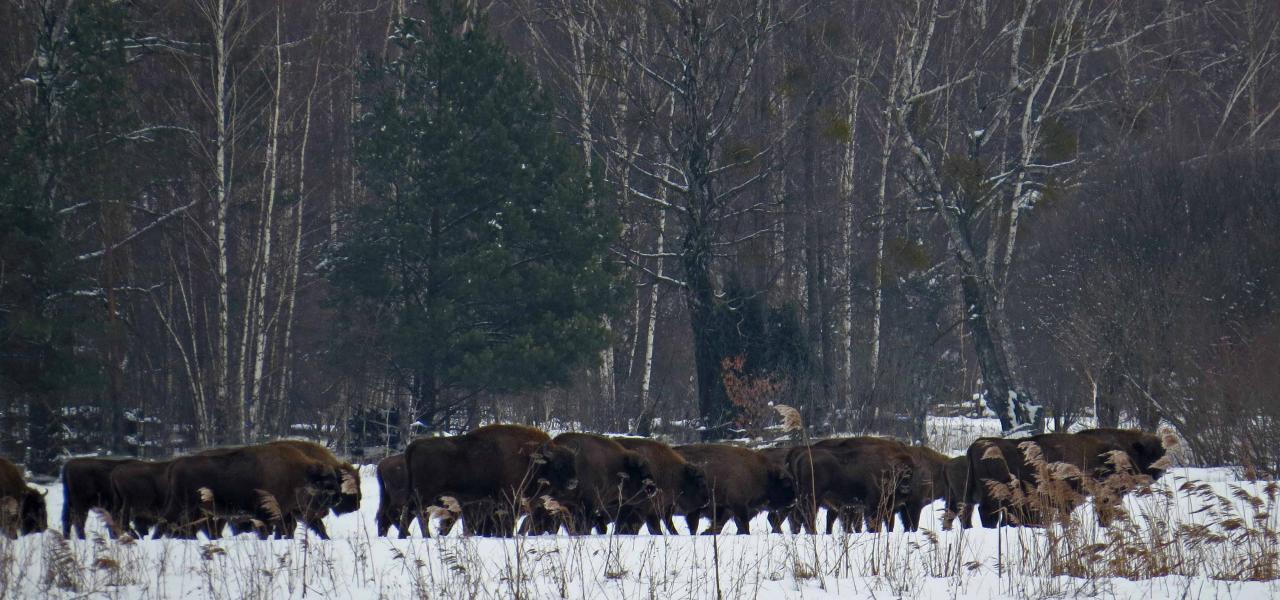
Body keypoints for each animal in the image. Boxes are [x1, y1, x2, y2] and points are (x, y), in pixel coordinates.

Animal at [401, 422, 578, 534]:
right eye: (559, 464)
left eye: (573, 462)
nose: (573, 482)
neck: (533, 457)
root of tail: (414, 445)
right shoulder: (509, 501)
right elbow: (507, 526)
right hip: (425, 495)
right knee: (419, 515)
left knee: (411, 514)